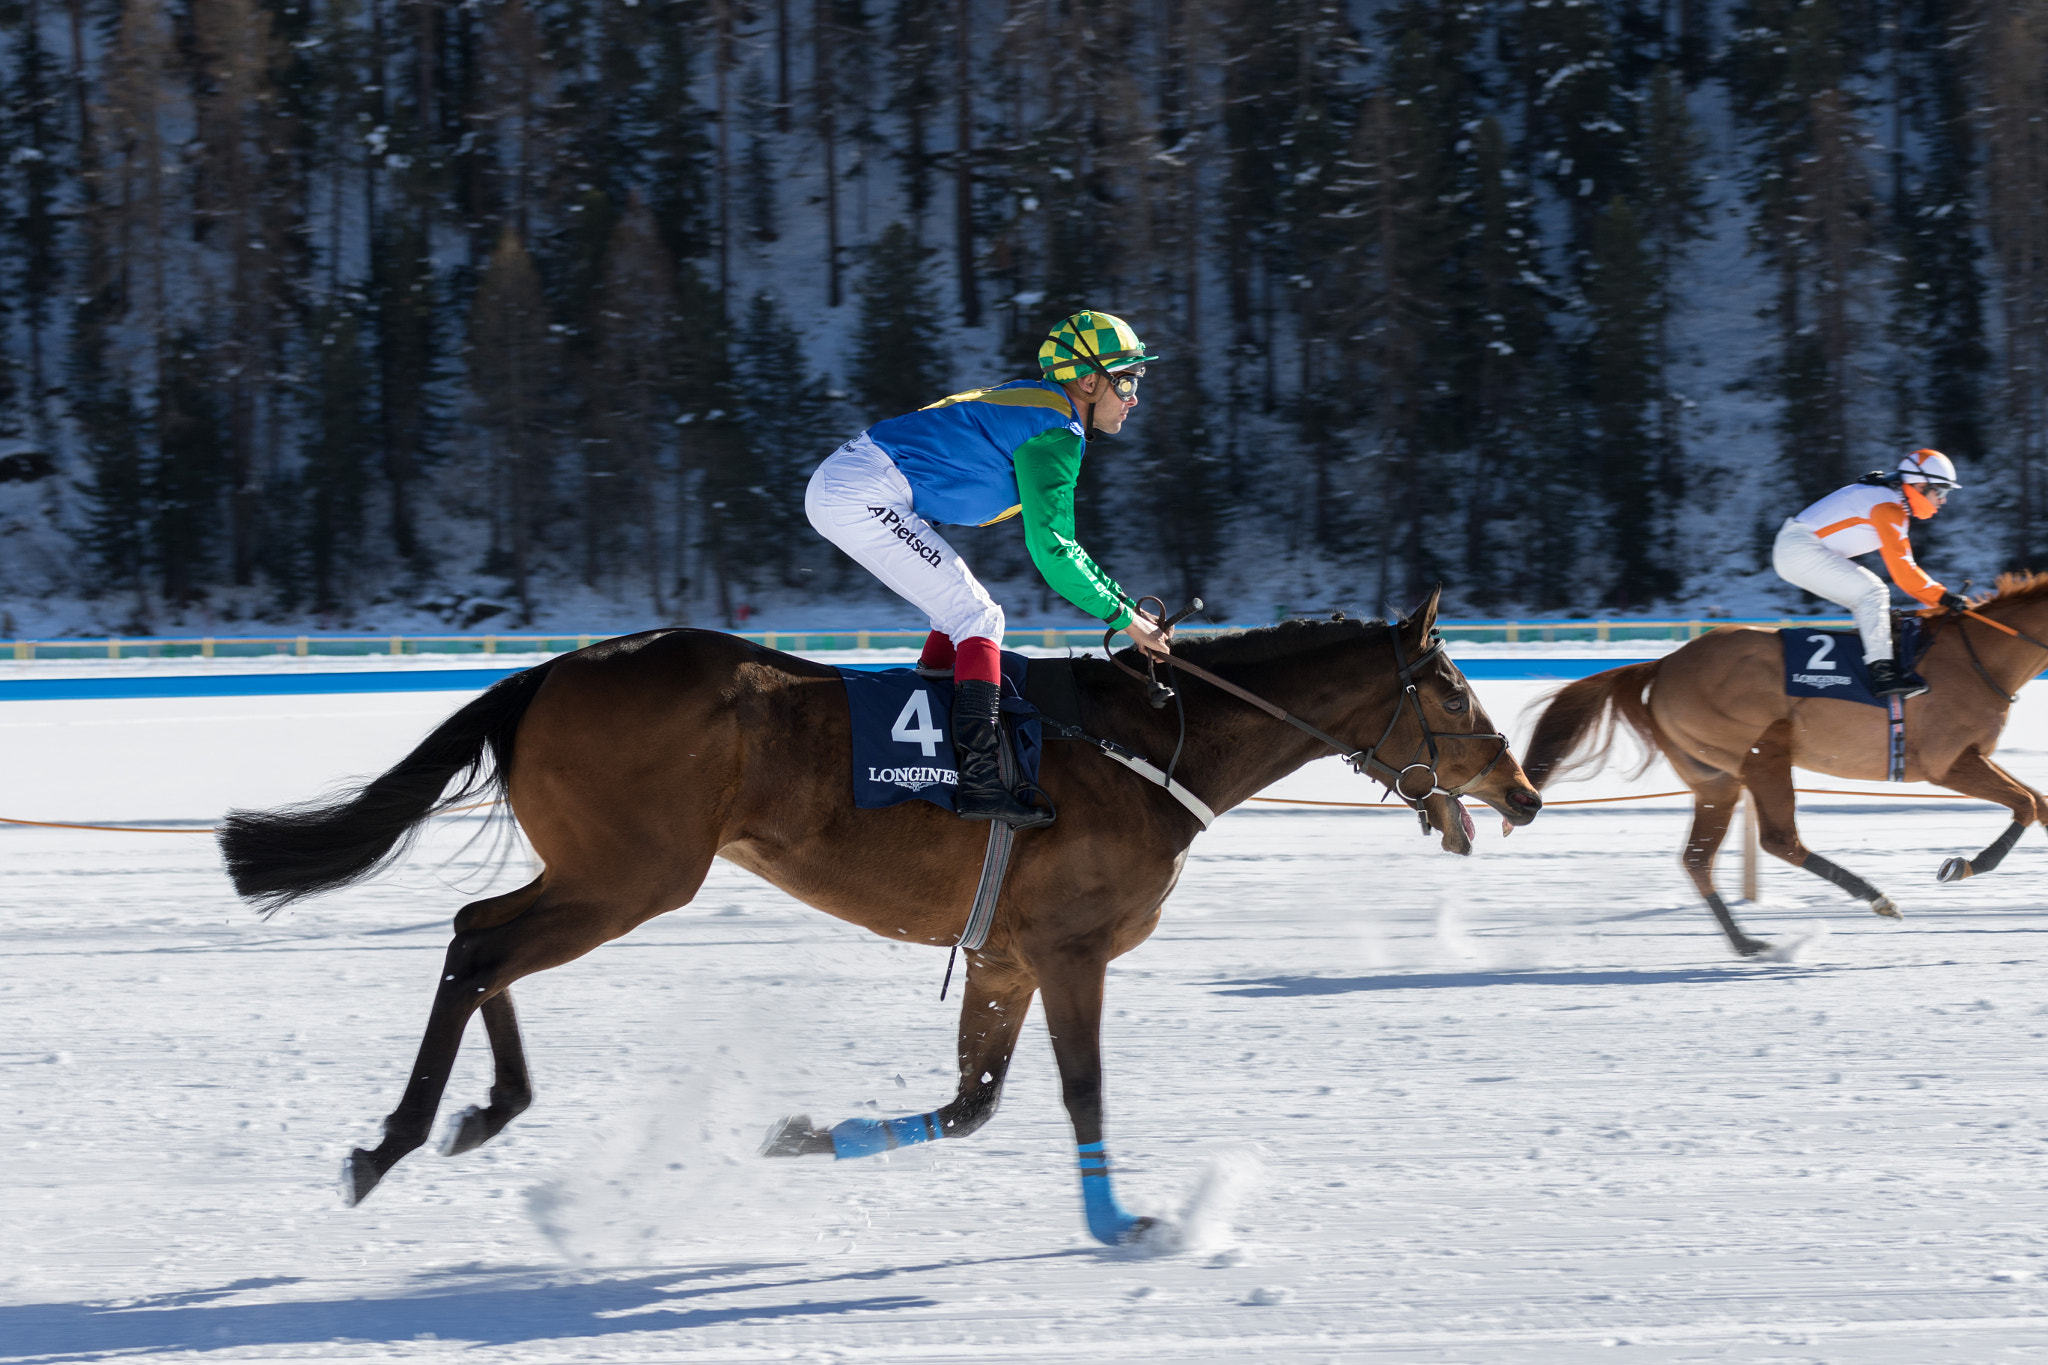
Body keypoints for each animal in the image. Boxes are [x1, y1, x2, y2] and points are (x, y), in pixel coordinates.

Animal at [220, 589, 1540, 1252]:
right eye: (1454, 691)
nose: (1522, 790)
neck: (1150, 740)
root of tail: (550, 671)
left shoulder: (1004, 956)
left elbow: (972, 1103)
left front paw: (804, 1134)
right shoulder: (1068, 950)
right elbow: (1078, 1095)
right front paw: (1122, 1221)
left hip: (605, 873)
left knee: (477, 932)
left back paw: (485, 1109)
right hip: (634, 875)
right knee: (477, 943)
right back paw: (397, 1137)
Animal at [1523, 577, 2048, 961]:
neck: (1979, 658)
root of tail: (1662, 664)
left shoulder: (1971, 757)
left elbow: (2039, 803)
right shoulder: (1948, 763)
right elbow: (2024, 803)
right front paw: (1962, 865)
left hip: (1716, 779)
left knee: (1698, 858)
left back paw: (1746, 942)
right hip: (1764, 750)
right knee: (1779, 839)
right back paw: (1875, 897)